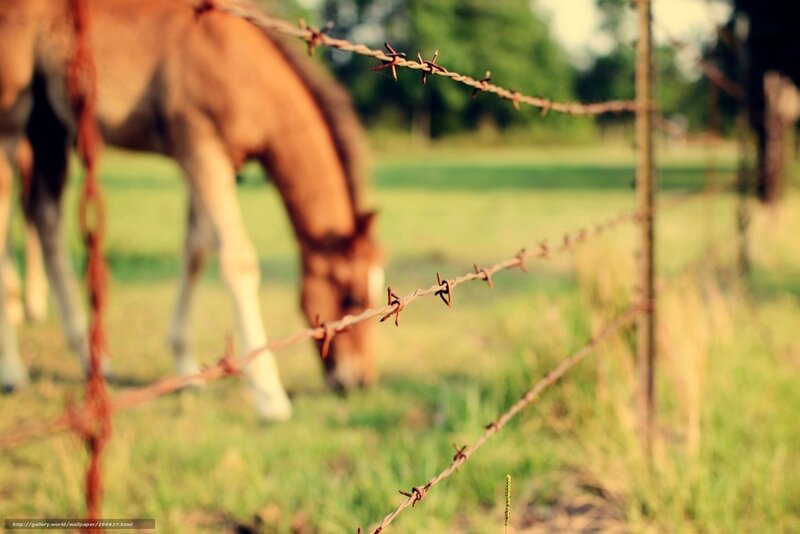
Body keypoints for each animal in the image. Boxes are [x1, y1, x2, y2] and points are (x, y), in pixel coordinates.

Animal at [0, 0, 384, 421]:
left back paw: (92, 360)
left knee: (45, 216)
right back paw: (13, 371)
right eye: (352, 299)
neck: (241, 67)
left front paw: (187, 371)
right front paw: (269, 394)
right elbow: (237, 260)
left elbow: (197, 249)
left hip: (50, 125)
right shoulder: (201, 149)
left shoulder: (217, 163)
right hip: (13, 116)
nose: (360, 381)